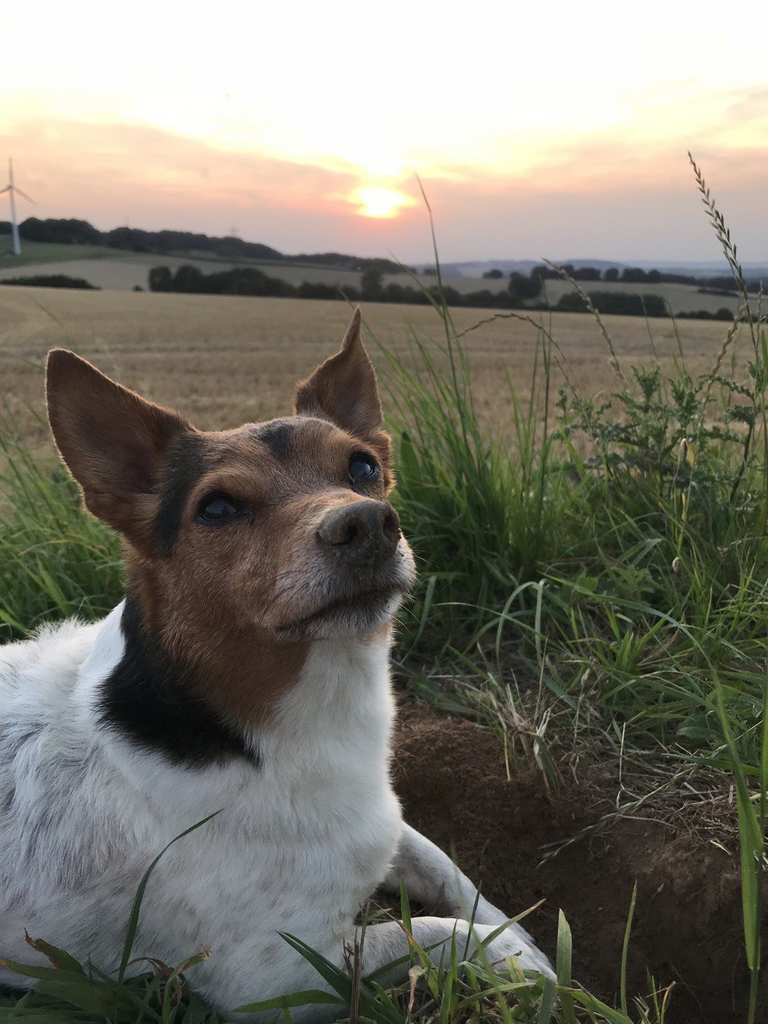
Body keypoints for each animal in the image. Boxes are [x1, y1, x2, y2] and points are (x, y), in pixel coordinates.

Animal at [0, 309, 552, 1015]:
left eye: (363, 466)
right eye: (216, 507)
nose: (368, 523)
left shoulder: (380, 819)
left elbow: (442, 864)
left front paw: (517, 934)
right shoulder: (278, 975)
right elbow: (428, 931)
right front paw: (514, 959)